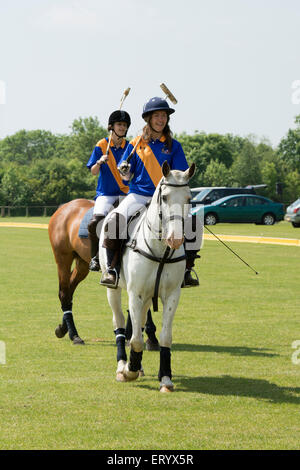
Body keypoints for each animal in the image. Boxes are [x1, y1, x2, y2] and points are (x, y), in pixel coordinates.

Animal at [47, 196, 158, 346]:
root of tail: (64, 207)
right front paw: (145, 336)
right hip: (63, 257)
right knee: (64, 292)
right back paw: (74, 335)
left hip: (82, 264)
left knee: (69, 291)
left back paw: (63, 328)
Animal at [99, 162, 196, 392]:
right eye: (165, 197)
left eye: (188, 198)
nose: (175, 239)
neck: (161, 250)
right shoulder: (136, 293)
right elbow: (134, 339)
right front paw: (129, 371)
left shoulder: (172, 295)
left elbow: (165, 337)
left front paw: (166, 378)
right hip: (113, 290)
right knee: (119, 321)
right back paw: (122, 365)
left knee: (140, 323)